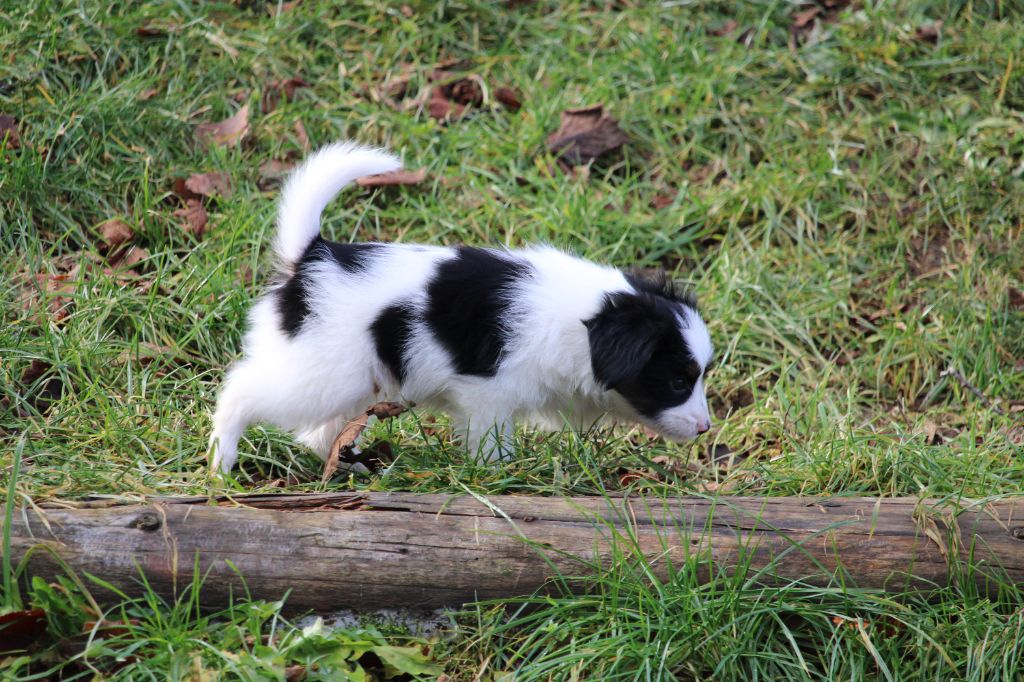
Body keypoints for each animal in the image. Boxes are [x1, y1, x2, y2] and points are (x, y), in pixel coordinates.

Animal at [209, 142, 712, 473]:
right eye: (677, 382)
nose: (706, 429)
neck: (582, 322)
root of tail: (314, 255)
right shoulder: (488, 397)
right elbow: (492, 444)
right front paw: (501, 477)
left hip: (350, 380)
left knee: (318, 433)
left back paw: (349, 464)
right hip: (320, 376)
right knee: (241, 391)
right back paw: (222, 460)